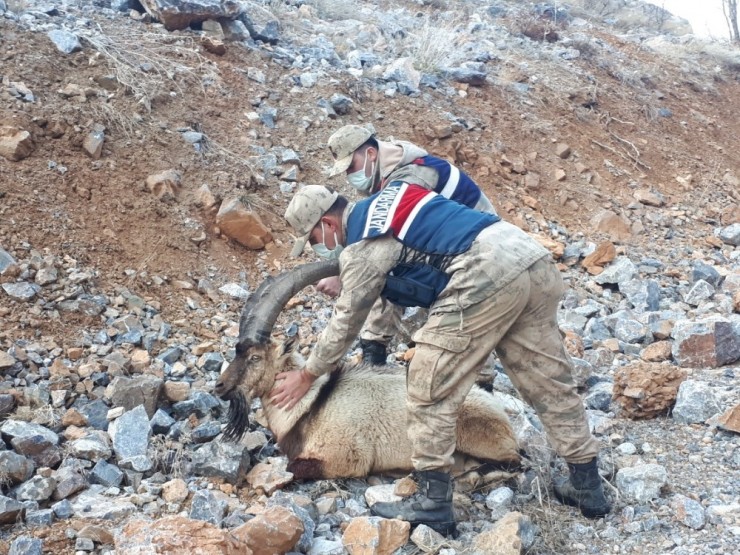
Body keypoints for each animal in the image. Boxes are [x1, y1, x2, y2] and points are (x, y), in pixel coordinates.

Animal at [211, 262, 516, 482]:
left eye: (255, 357)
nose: (219, 387)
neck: (310, 405)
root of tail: (500, 413)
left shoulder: (346, 458)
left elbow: (294, 468)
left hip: (476, 436)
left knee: (512, 461)